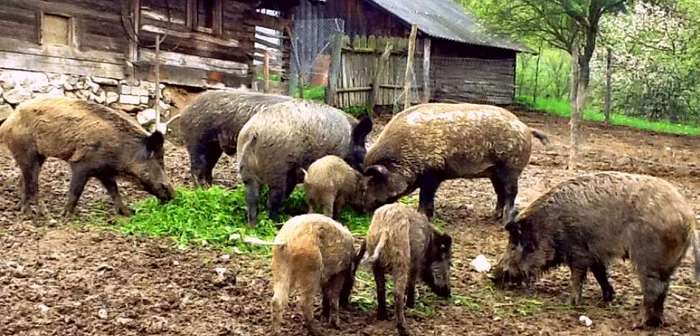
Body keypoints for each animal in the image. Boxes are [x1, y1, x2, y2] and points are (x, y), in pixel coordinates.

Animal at [0, 96, 174, 218]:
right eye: (159, 160)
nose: (173, 194)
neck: (121, 150)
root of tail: (7, 123)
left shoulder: (104, 172)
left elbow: (114, 191)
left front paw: (128, 213)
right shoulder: (81, 164)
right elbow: (76, 190)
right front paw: (67, 216)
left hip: (37, 155)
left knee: (23, 181)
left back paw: (26, 212)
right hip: (27, 152)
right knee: (32, 185)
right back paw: (46, 216)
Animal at [238, 100, 374, 226]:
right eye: (362, 142)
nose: (366, 169)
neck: (348, 142)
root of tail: (253, 132)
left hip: (247, 171)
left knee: (251, 198)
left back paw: (252, 226)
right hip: (276, 170)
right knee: (273, 199)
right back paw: (276, 223)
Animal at [360, 202, 454, 336]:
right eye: (449, 262)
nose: (449, 293)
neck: (429, 243)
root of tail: (385, 230)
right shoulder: (416, 262)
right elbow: (412, 282)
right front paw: (411, 306)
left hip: (375, 258)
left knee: (381, 289)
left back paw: (383, 317)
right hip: (401, 260)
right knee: (397, 293)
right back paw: (405, 330)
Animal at [490, 172, 700, 330]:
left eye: (514, 245)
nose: (492, 275)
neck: (548, 227)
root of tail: (689, 219)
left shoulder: (578, 252)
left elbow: (577, 277)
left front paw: (569, 303)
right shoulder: (595, 255)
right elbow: (600, 274)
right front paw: (607, 298)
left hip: (648, 258)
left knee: (653, 290)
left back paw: (636, 324)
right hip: (668, 263)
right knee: (664, 289)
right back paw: (658, 323)